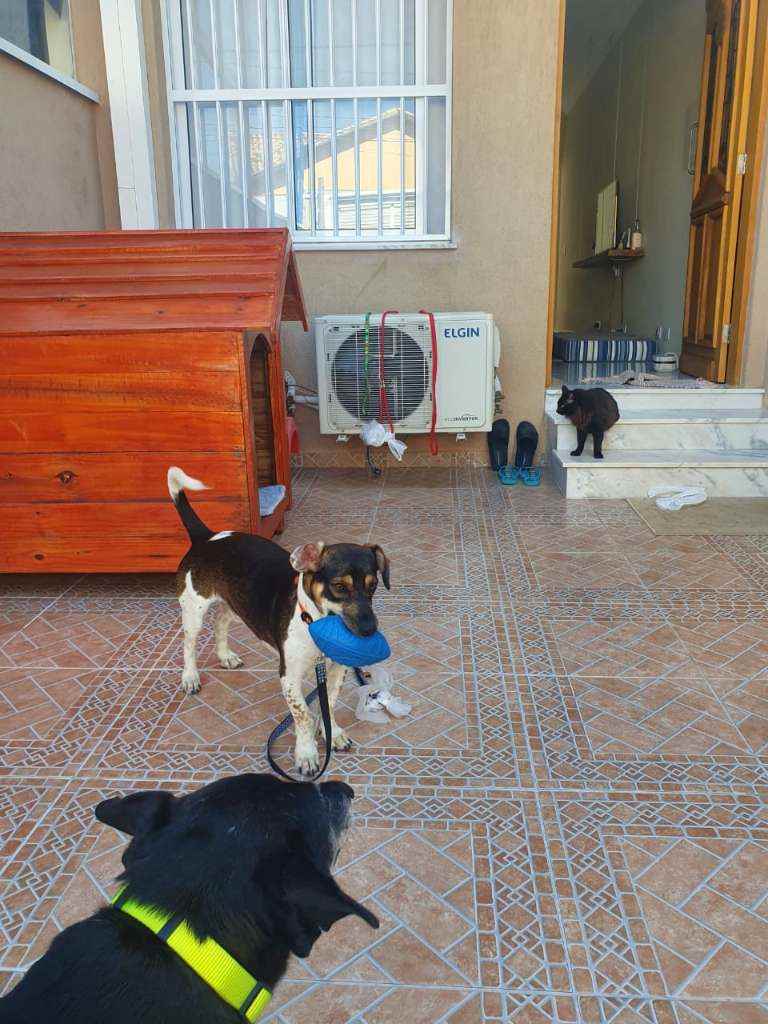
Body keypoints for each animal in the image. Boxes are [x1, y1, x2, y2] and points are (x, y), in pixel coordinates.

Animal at [167, 468, 390, 776]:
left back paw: (225, 656)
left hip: (235, 603)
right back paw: (190, 678)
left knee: (220, 623)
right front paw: (307, 754)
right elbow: (304, 715)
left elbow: (329, 704)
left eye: (373, 586)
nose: (370, 630)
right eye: (339, 587)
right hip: (193, 609)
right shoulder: (289, 676)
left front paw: (332, 733)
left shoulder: (335, 670)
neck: (313, 623)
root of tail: (207, 537)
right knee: (188, 644)